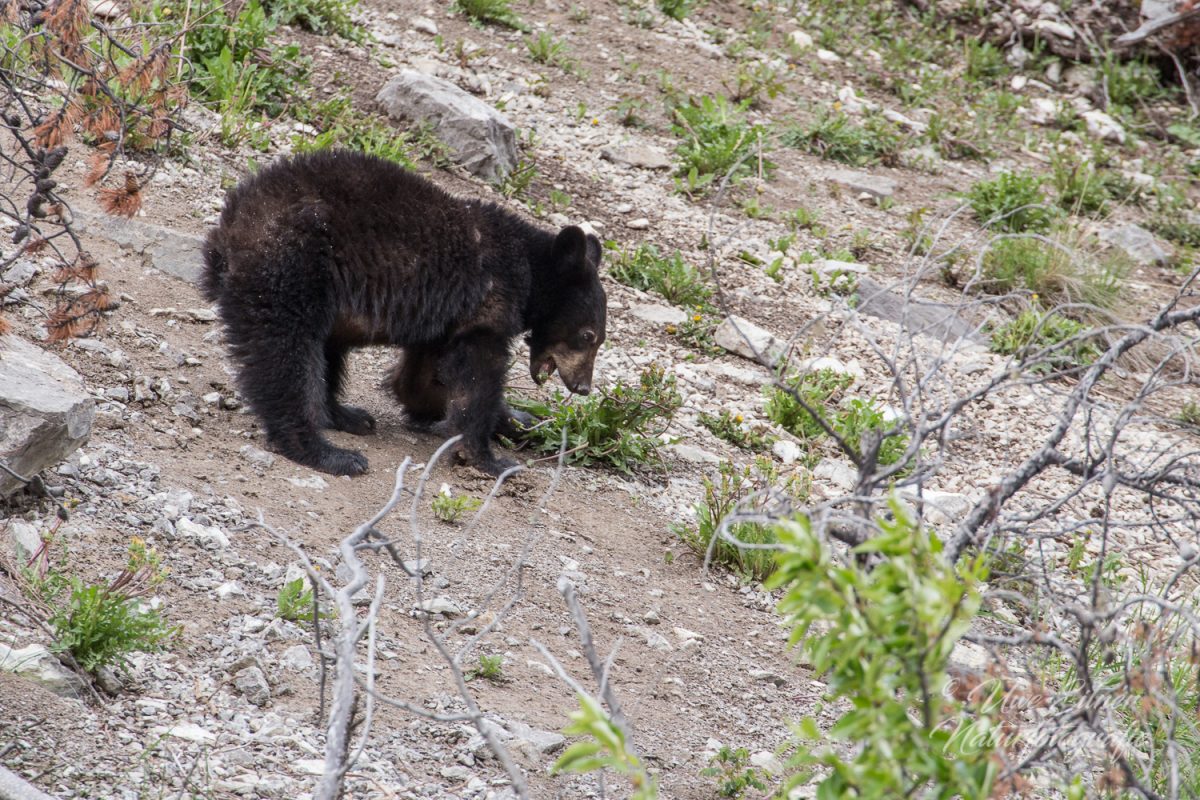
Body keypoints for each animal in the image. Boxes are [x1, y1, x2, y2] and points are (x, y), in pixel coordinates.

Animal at [200, 149, 607, 476]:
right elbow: (477, 381)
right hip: (292, 266)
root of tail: (227, 230)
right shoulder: (486, 308)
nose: (583, 387)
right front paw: (488, 458)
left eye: (598, 339)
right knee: (285, 358)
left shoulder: (444, 324)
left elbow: (421, 379)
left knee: (325, 353)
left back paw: (347, 415)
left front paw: (521, 421)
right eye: (588, 336)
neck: (530, 269)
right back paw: (326, 451)